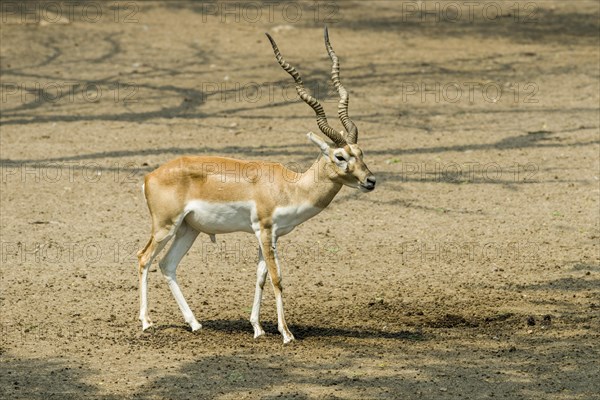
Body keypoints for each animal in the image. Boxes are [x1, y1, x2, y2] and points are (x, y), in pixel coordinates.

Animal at [138, 27, 378, 344]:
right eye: (340, 156)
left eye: (361, 153)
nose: (370, 180)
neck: (290, 188)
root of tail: (150, 176)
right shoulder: (264, 230)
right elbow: (277, 278)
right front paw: (286, 333)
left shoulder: (269, 236)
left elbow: (261, 277)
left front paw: (257, 328)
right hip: (165, 226)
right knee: (144, 258)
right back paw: (146, 322)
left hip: (189, 229)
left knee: (167, 265)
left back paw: (195, 324)